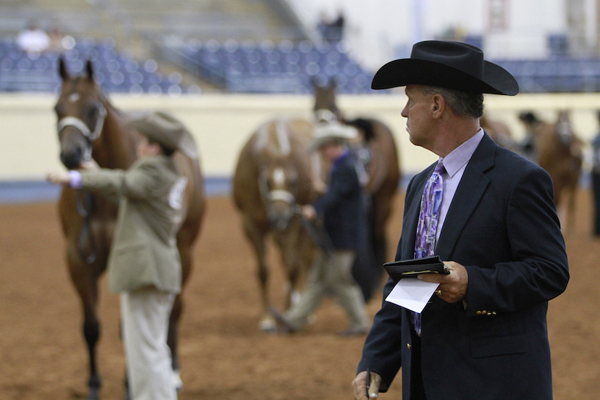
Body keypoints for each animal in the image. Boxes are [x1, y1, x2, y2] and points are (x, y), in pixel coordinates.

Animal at [56, 58, 206, 400]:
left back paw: (173, 371)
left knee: (175, 309)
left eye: (93, 108)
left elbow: (129, 333)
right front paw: (94, 386)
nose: (71, 155)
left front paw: (130, 386)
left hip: (184, 250)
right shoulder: (77, 262)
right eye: (57, 108)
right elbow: (91, 327)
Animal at [232, 118, 322, 332]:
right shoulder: (251, 225)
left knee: (305, 261)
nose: (280, 218)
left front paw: (289, 313)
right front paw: (267, 317)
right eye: (266, 181)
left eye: (294, 180)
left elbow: (293, 268)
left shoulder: (296, 222)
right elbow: (263, 271)